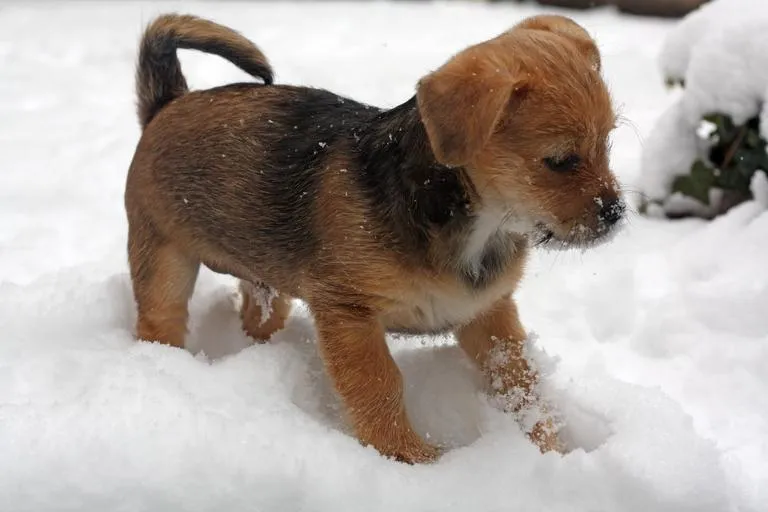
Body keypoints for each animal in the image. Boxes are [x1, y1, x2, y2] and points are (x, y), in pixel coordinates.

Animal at [126, 12, 628, 462]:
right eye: (560, 161)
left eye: (607, 144)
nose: (616, 213)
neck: (474, 221)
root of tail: (167, 103)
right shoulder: (350, 313)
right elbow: (380, 386)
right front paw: (410, 458)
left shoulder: (488, 314)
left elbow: (522, 383)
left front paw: (549, 450)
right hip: (163, 260)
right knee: (159, 320)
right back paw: (164, 365)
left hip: (264, 273)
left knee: (258, 311)